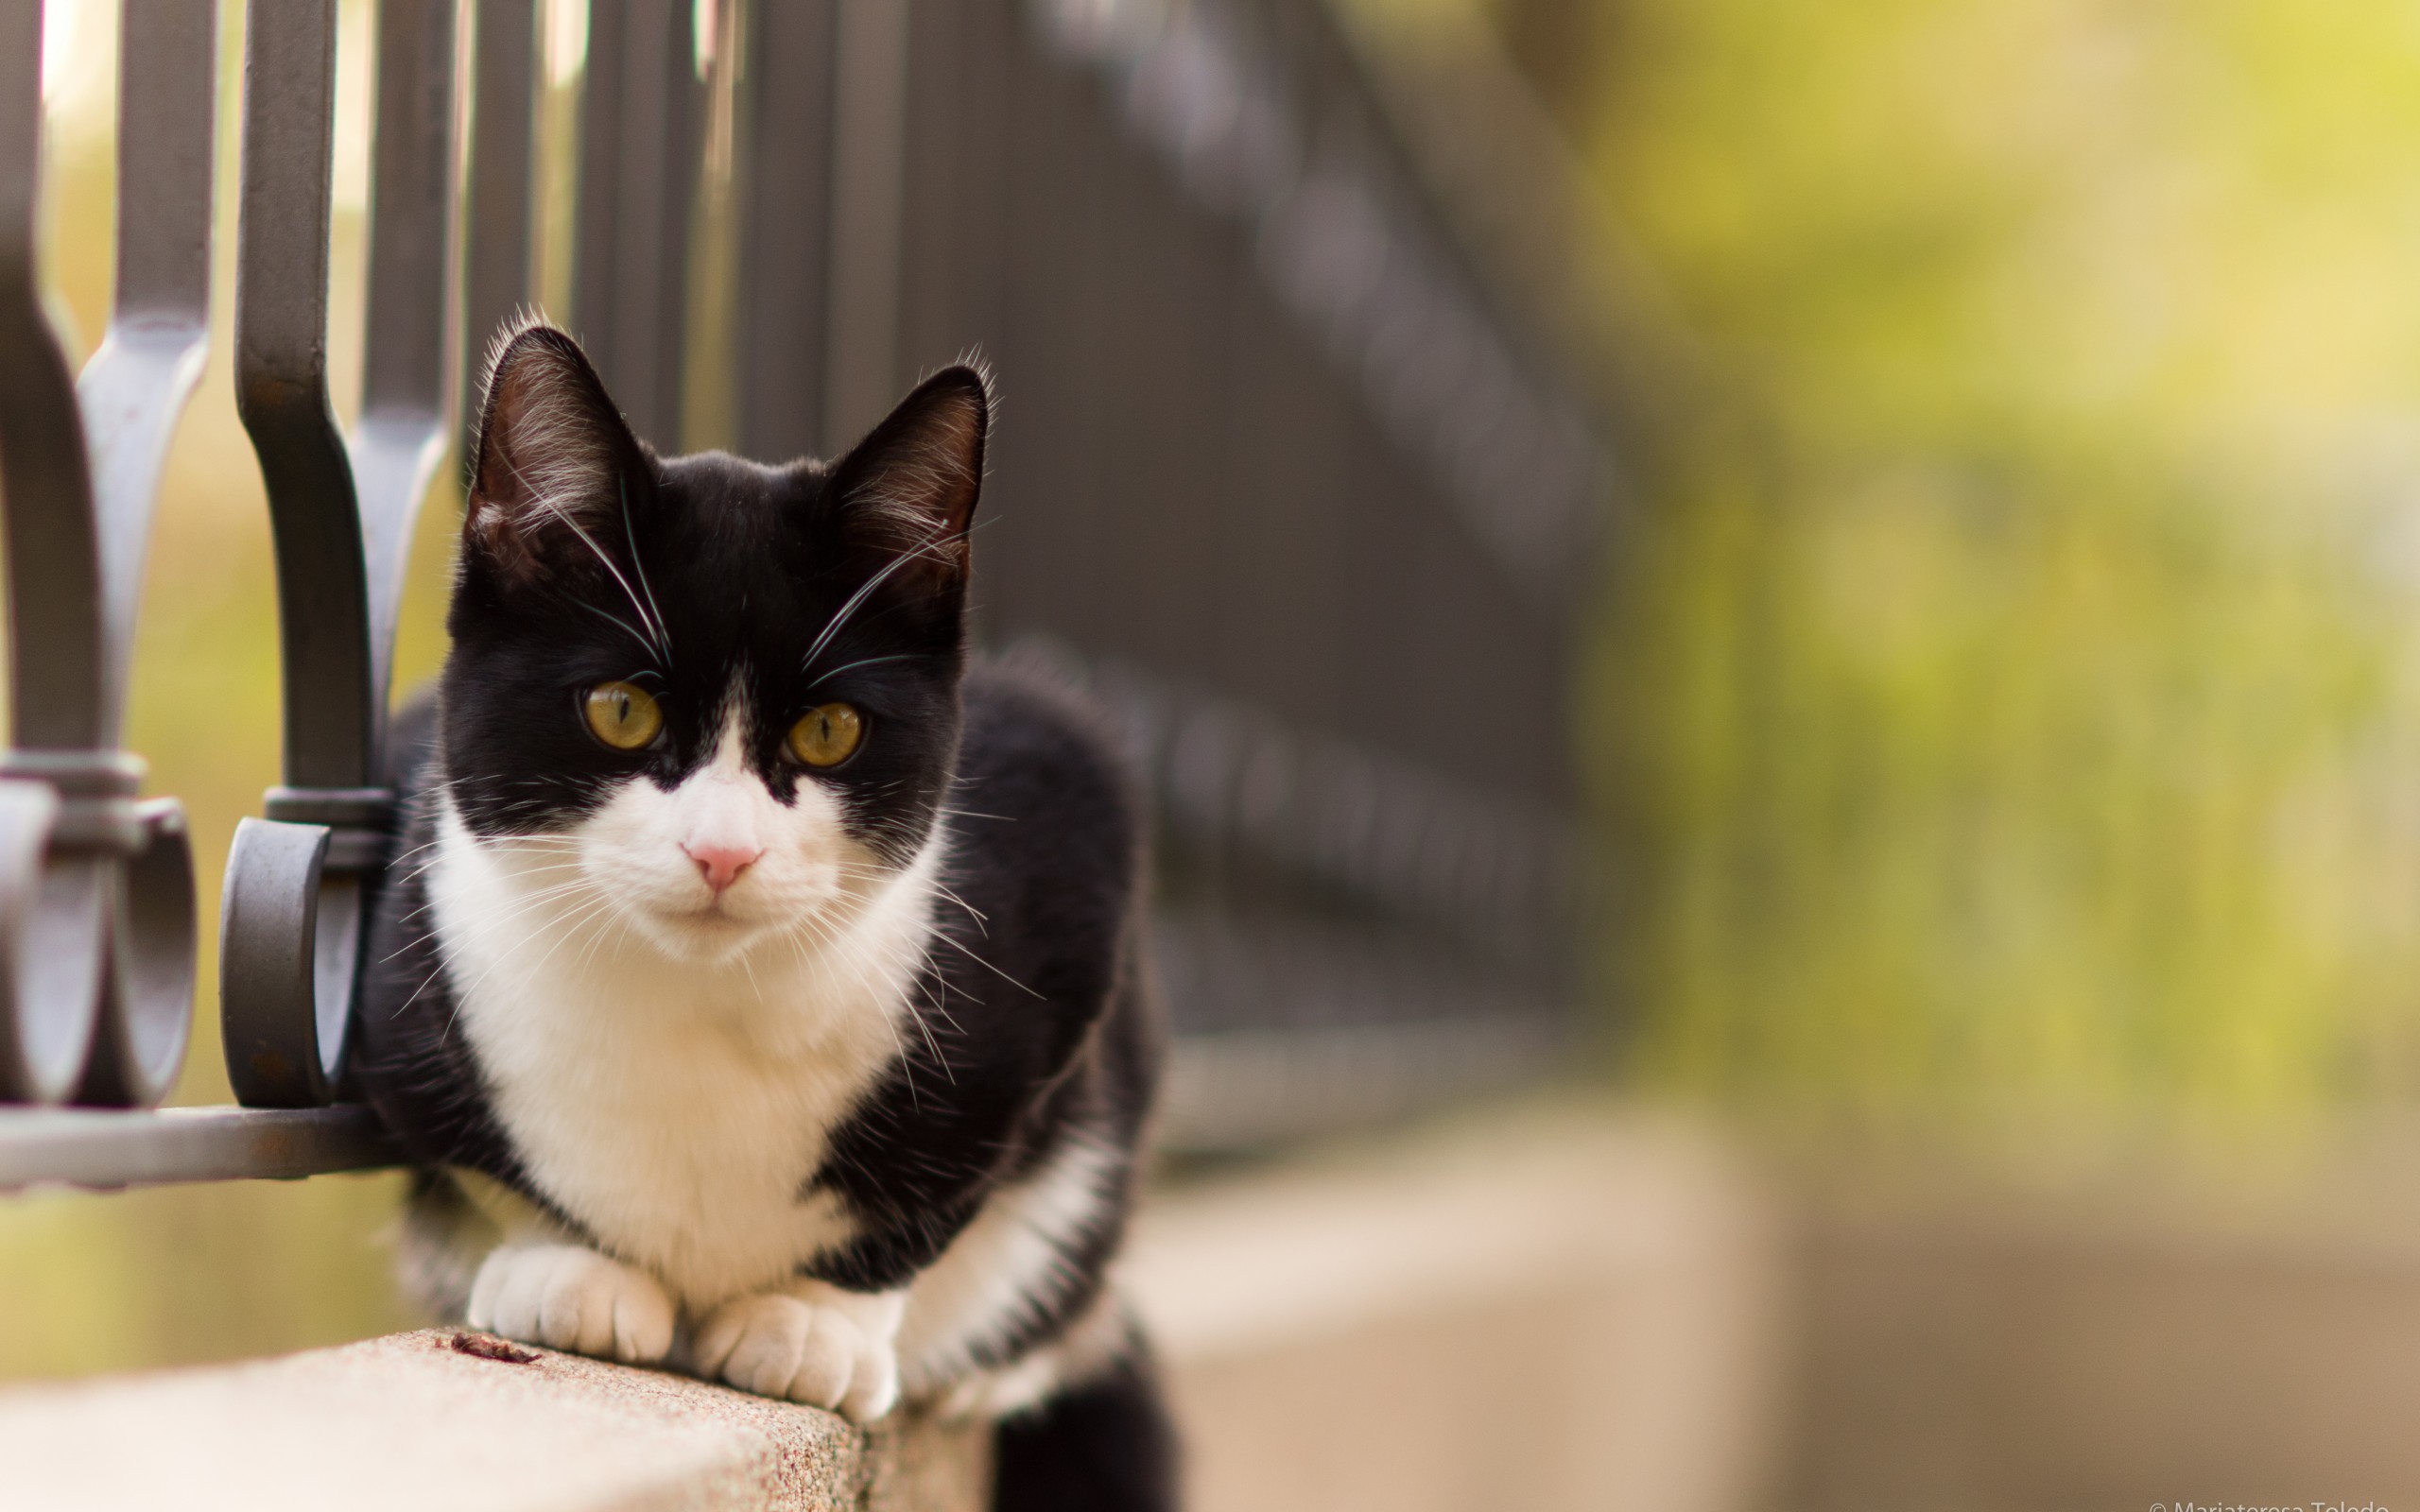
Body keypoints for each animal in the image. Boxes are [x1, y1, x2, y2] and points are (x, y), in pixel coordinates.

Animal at [353, 321, 1176, 1509]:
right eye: (620, 709)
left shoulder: (1074, 834)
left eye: (830, 729)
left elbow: (942, 1196)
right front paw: (571, 1268)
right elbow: (479, 1162)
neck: (696, 1003)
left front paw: (811, 1322)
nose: (723, 850)